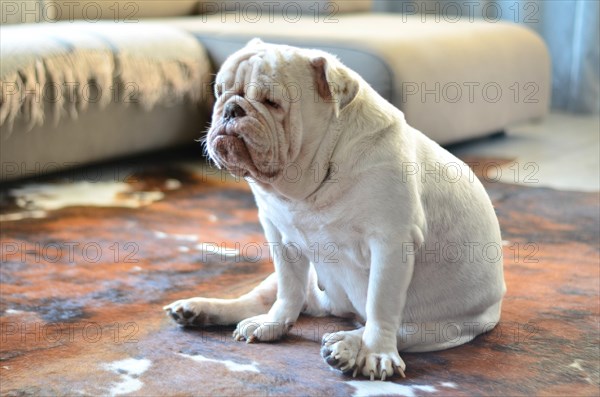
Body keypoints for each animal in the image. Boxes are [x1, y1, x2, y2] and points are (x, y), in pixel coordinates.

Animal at [164, 40, 506, 380]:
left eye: (272, 102)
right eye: (219, 92)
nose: (231, 108)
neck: (308, 184)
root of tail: (340, 310)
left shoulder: (391, 242)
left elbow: (382, 303)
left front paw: (375, 352)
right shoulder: (279, 236)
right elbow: (288, 287)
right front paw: (273, 322)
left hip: (445, 326)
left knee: (400, 328)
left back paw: (349, 345)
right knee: (264, 299)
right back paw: (212, 312)